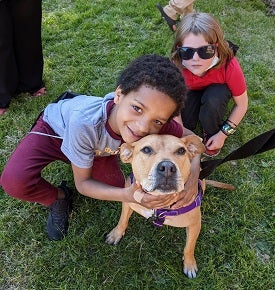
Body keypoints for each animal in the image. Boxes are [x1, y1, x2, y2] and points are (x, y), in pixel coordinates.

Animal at [106, 134, 234, 278]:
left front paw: (189, 263)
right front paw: (116, 234)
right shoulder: (128, 200)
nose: (167, 167)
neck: (159, 204)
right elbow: (122, 220)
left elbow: (189, 247)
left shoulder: (195, 224)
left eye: (181, 151)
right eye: (146, 149)